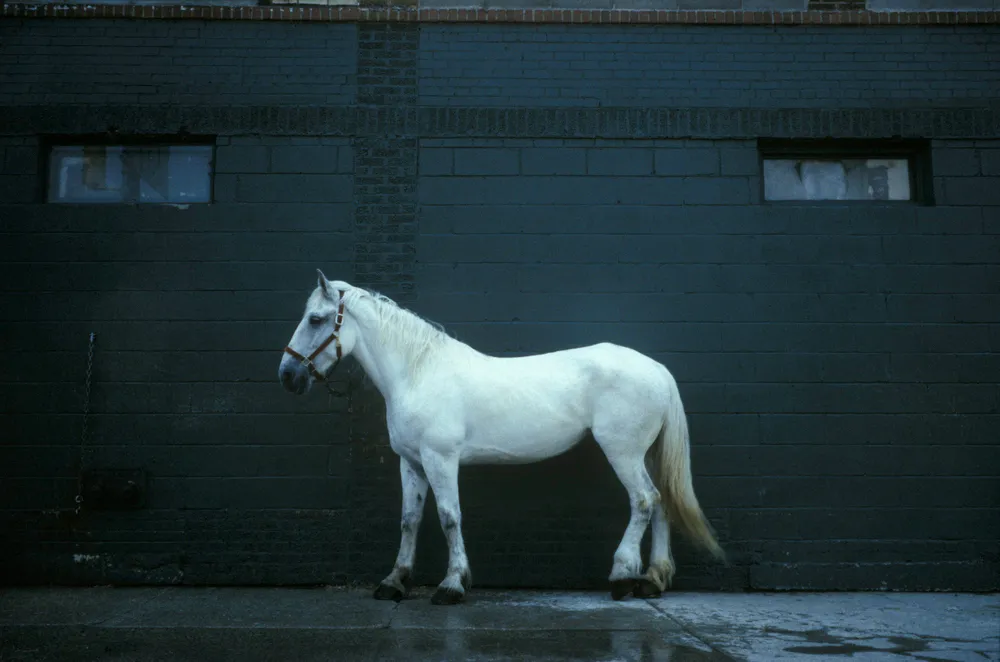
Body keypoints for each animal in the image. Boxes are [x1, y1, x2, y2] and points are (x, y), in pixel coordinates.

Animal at [278, 270, 725, 605]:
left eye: (316, 319)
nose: (288, 375)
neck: (418, 373)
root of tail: (657, 369)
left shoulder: (440, 459)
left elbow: (449, 517)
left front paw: (452, 585)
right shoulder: (412, 462)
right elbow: (409, 520)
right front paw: (394, 582)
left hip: (623, 451)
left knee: (644, 501)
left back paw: (622, 576)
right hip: (645, 454)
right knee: (662, 503)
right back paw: (653, 580)